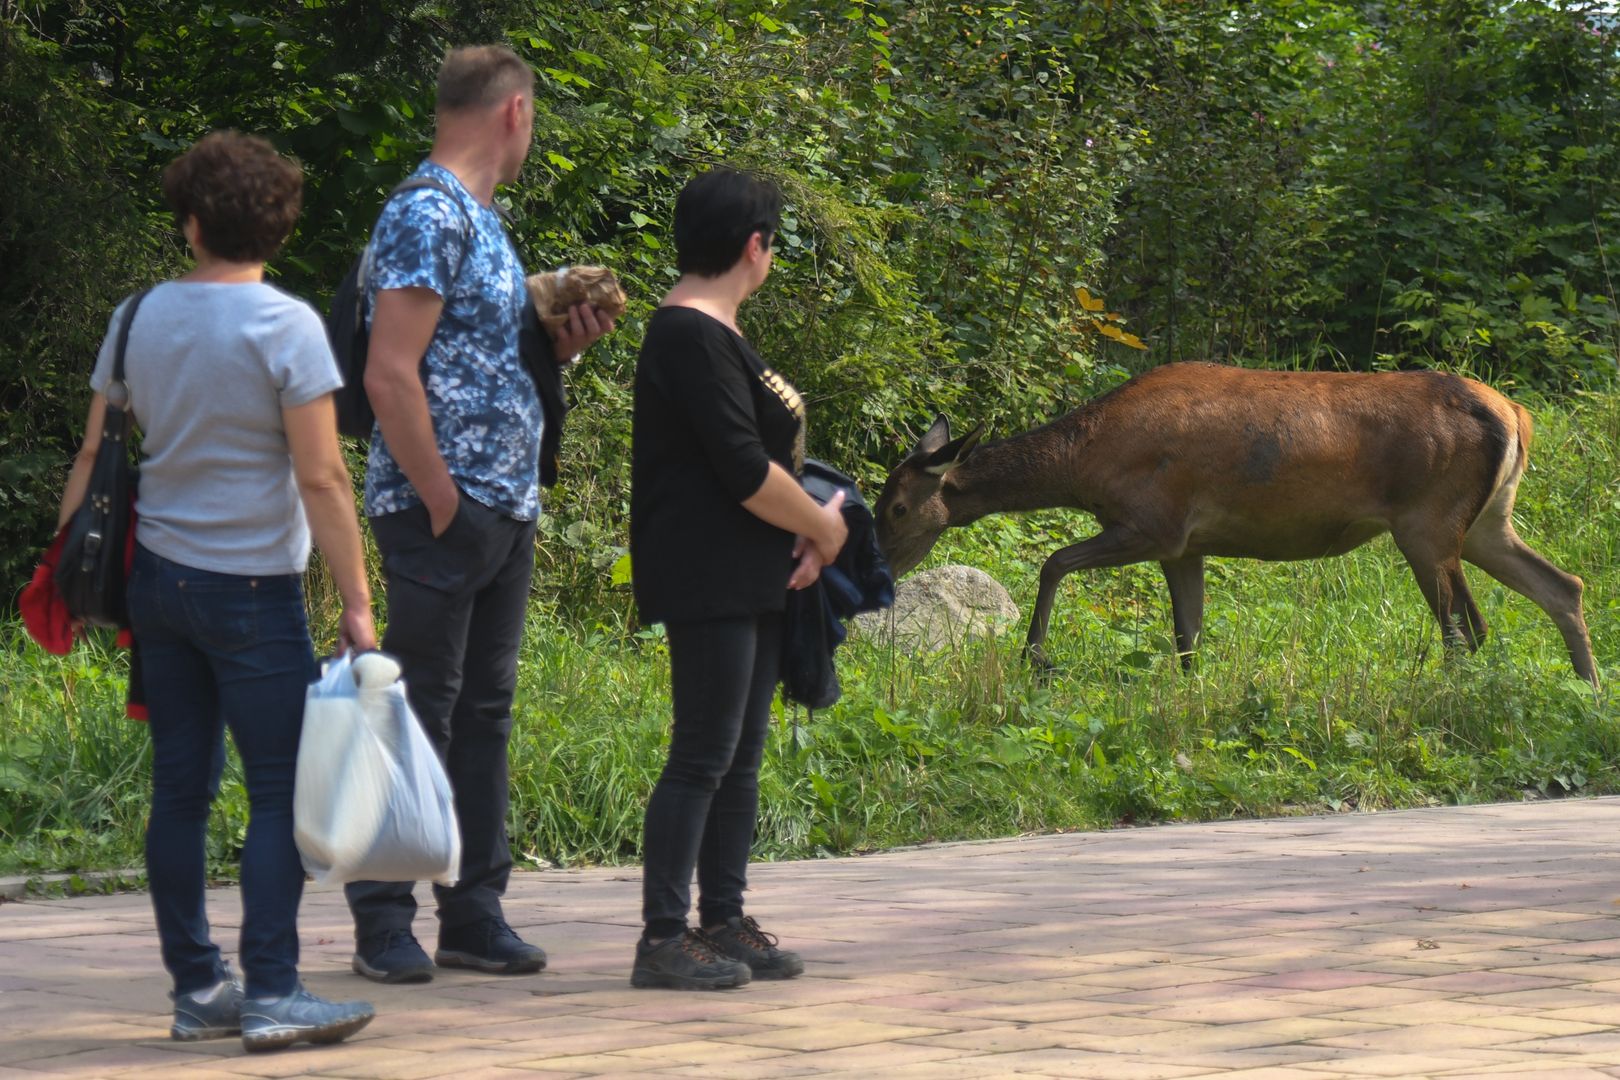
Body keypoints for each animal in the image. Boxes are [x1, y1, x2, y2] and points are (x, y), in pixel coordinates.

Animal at [874, 361, 1594, 683]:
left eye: (897, 507)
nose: (877, 570)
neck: (1089, 465)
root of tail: (1516, 414)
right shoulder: (1183, 546)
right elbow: (1187, 636)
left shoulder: (1155, 522)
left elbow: (1052, 562)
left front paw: (1036, 656)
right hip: (1486, 522)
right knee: (1563, 585)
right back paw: (1584, 688)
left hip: (1427, 521)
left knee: (1466, 626)